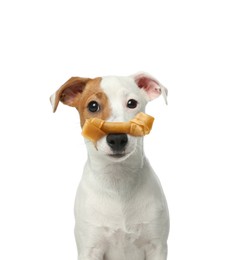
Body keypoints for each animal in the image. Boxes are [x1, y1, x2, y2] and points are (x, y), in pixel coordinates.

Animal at [50, 72, 169, 260]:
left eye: (132, 103)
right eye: (93, 106)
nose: (117, 138)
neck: (117, 181)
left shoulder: (156, 246)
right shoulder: (90, 248)